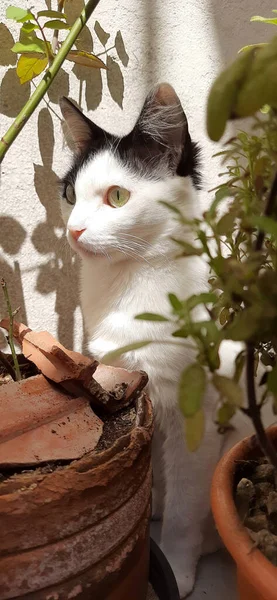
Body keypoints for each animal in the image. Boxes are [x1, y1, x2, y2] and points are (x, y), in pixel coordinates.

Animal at [59, 85, 262, 600]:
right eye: (70, 194)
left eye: (117, 196)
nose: (73, 230)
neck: (128, 282)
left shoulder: (196, 412)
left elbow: (188, 503)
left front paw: (175, 564)